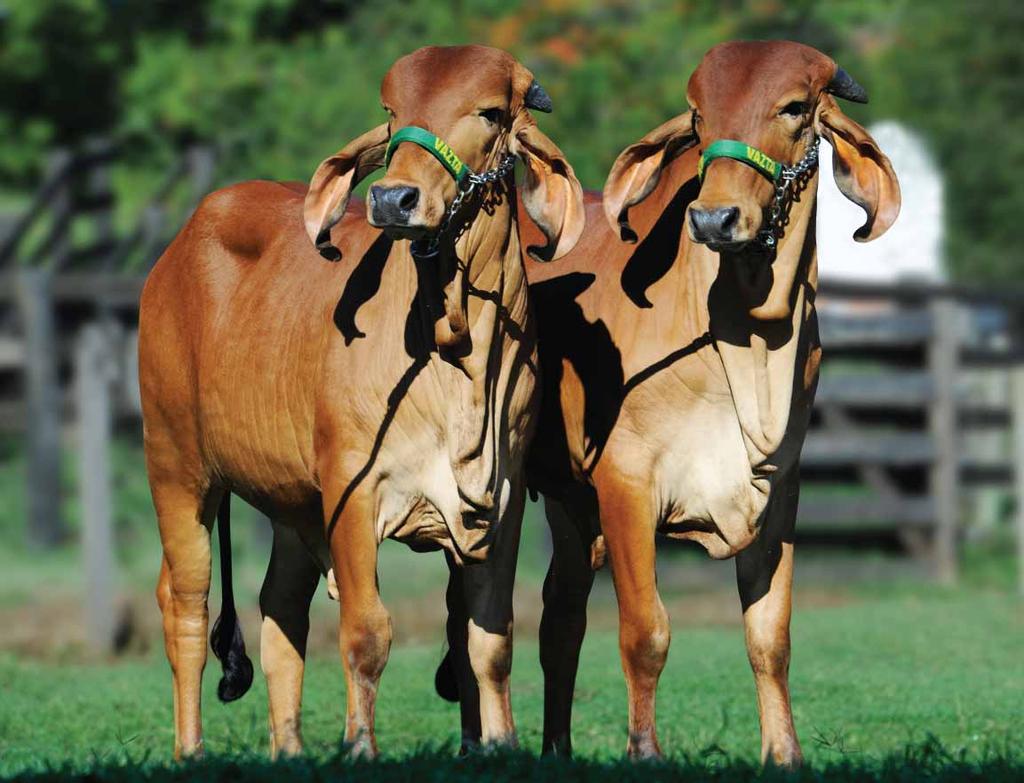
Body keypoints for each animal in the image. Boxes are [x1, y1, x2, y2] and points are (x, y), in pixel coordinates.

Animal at [139, 44, 581, 757]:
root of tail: (173, 254)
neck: (456, 352)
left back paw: (289, 751)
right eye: (393, 114)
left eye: (489, 112)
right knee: (185, 604)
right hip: (176, 466)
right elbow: (367, 632)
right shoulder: (354, 487)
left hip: (291, 501)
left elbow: (490, 638)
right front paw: (360, 746)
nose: (393, 198)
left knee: (279, 610)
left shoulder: (504, 499)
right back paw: (190, 751)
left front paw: (501, 744)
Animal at [444, 38, 901, 765]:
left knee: (561, 618)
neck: (748, 339)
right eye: (699, 115)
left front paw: (784, 752)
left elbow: (770, 636)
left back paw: (557, 749)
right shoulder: (627, 484)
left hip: (572, 507)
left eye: (794, 108)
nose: (715, 217)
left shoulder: (780, 489)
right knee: (470, 617)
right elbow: (646, 631)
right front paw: (644, 749)